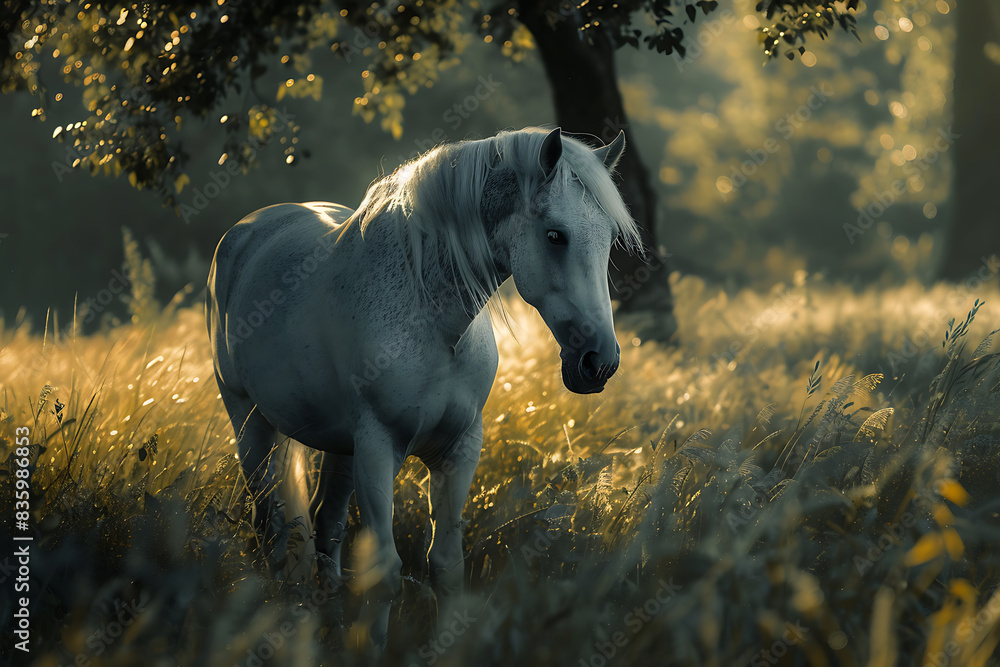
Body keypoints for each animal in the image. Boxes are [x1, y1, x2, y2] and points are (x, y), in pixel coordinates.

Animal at [206, 126, 642, 646]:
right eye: (556, 235)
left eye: (610, 238)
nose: (600, 361)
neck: (433, 321)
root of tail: (249, 228)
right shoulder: (378, 448)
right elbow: (385, 573)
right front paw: (371, 647)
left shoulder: (459, 449)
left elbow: (447, 565)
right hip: (252, 425)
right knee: (270, 525)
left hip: (340, 448)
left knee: (324, 524)